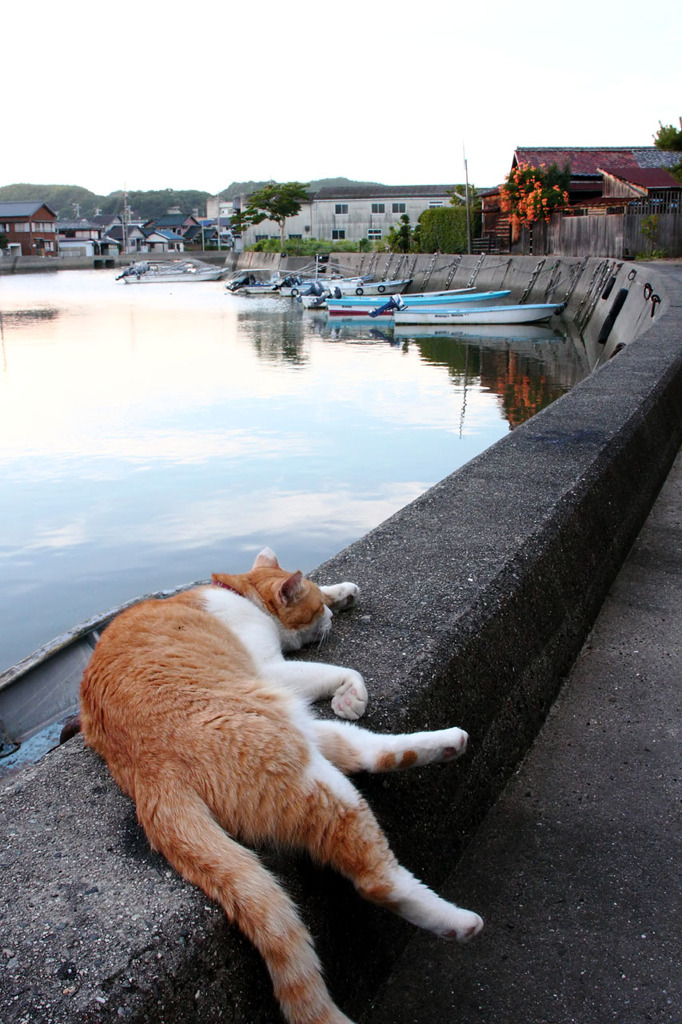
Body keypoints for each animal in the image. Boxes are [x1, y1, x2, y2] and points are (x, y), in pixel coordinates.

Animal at [79, 548, 481, 1024]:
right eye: (316, 611)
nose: (331, 615)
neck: (238, 593)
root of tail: (149, 774)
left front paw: (342, 592)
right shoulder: (273, 669)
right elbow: (343, 669)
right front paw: (349, 684)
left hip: (296, 727)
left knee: (365, 753)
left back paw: (448, 742)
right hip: (296, 754)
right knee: (373, 876)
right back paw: (456, 921)